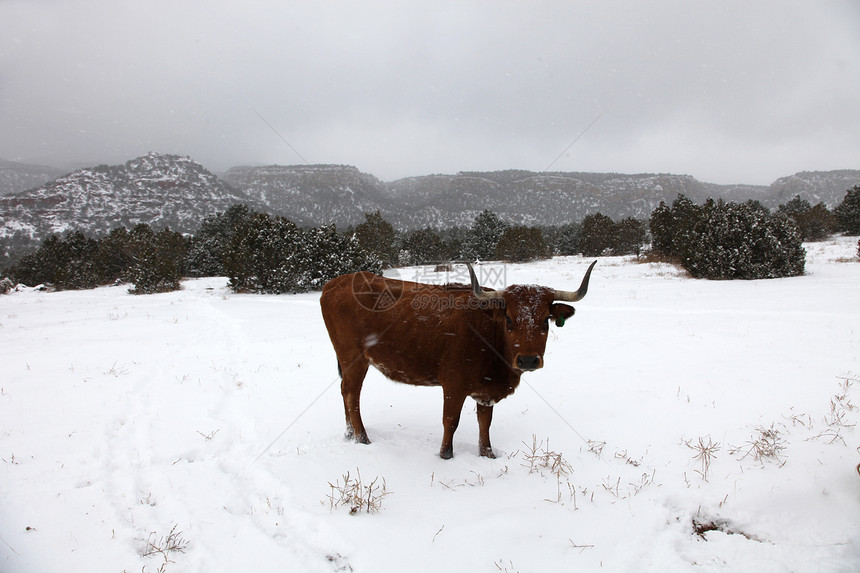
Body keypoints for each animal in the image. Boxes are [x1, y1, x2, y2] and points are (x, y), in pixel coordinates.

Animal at [320, 262, 596, 458]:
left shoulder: (486, 389)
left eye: (545, 321)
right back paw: (362, 438)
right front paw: (445, 455)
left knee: (345, 392)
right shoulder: (453, 384)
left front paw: (487, 454)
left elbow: (485, 423)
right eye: (509, 319)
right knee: (351, 395)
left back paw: (349, 434)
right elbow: (450, 421)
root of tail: (337, 282)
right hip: (354, 359)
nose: (528, 360)